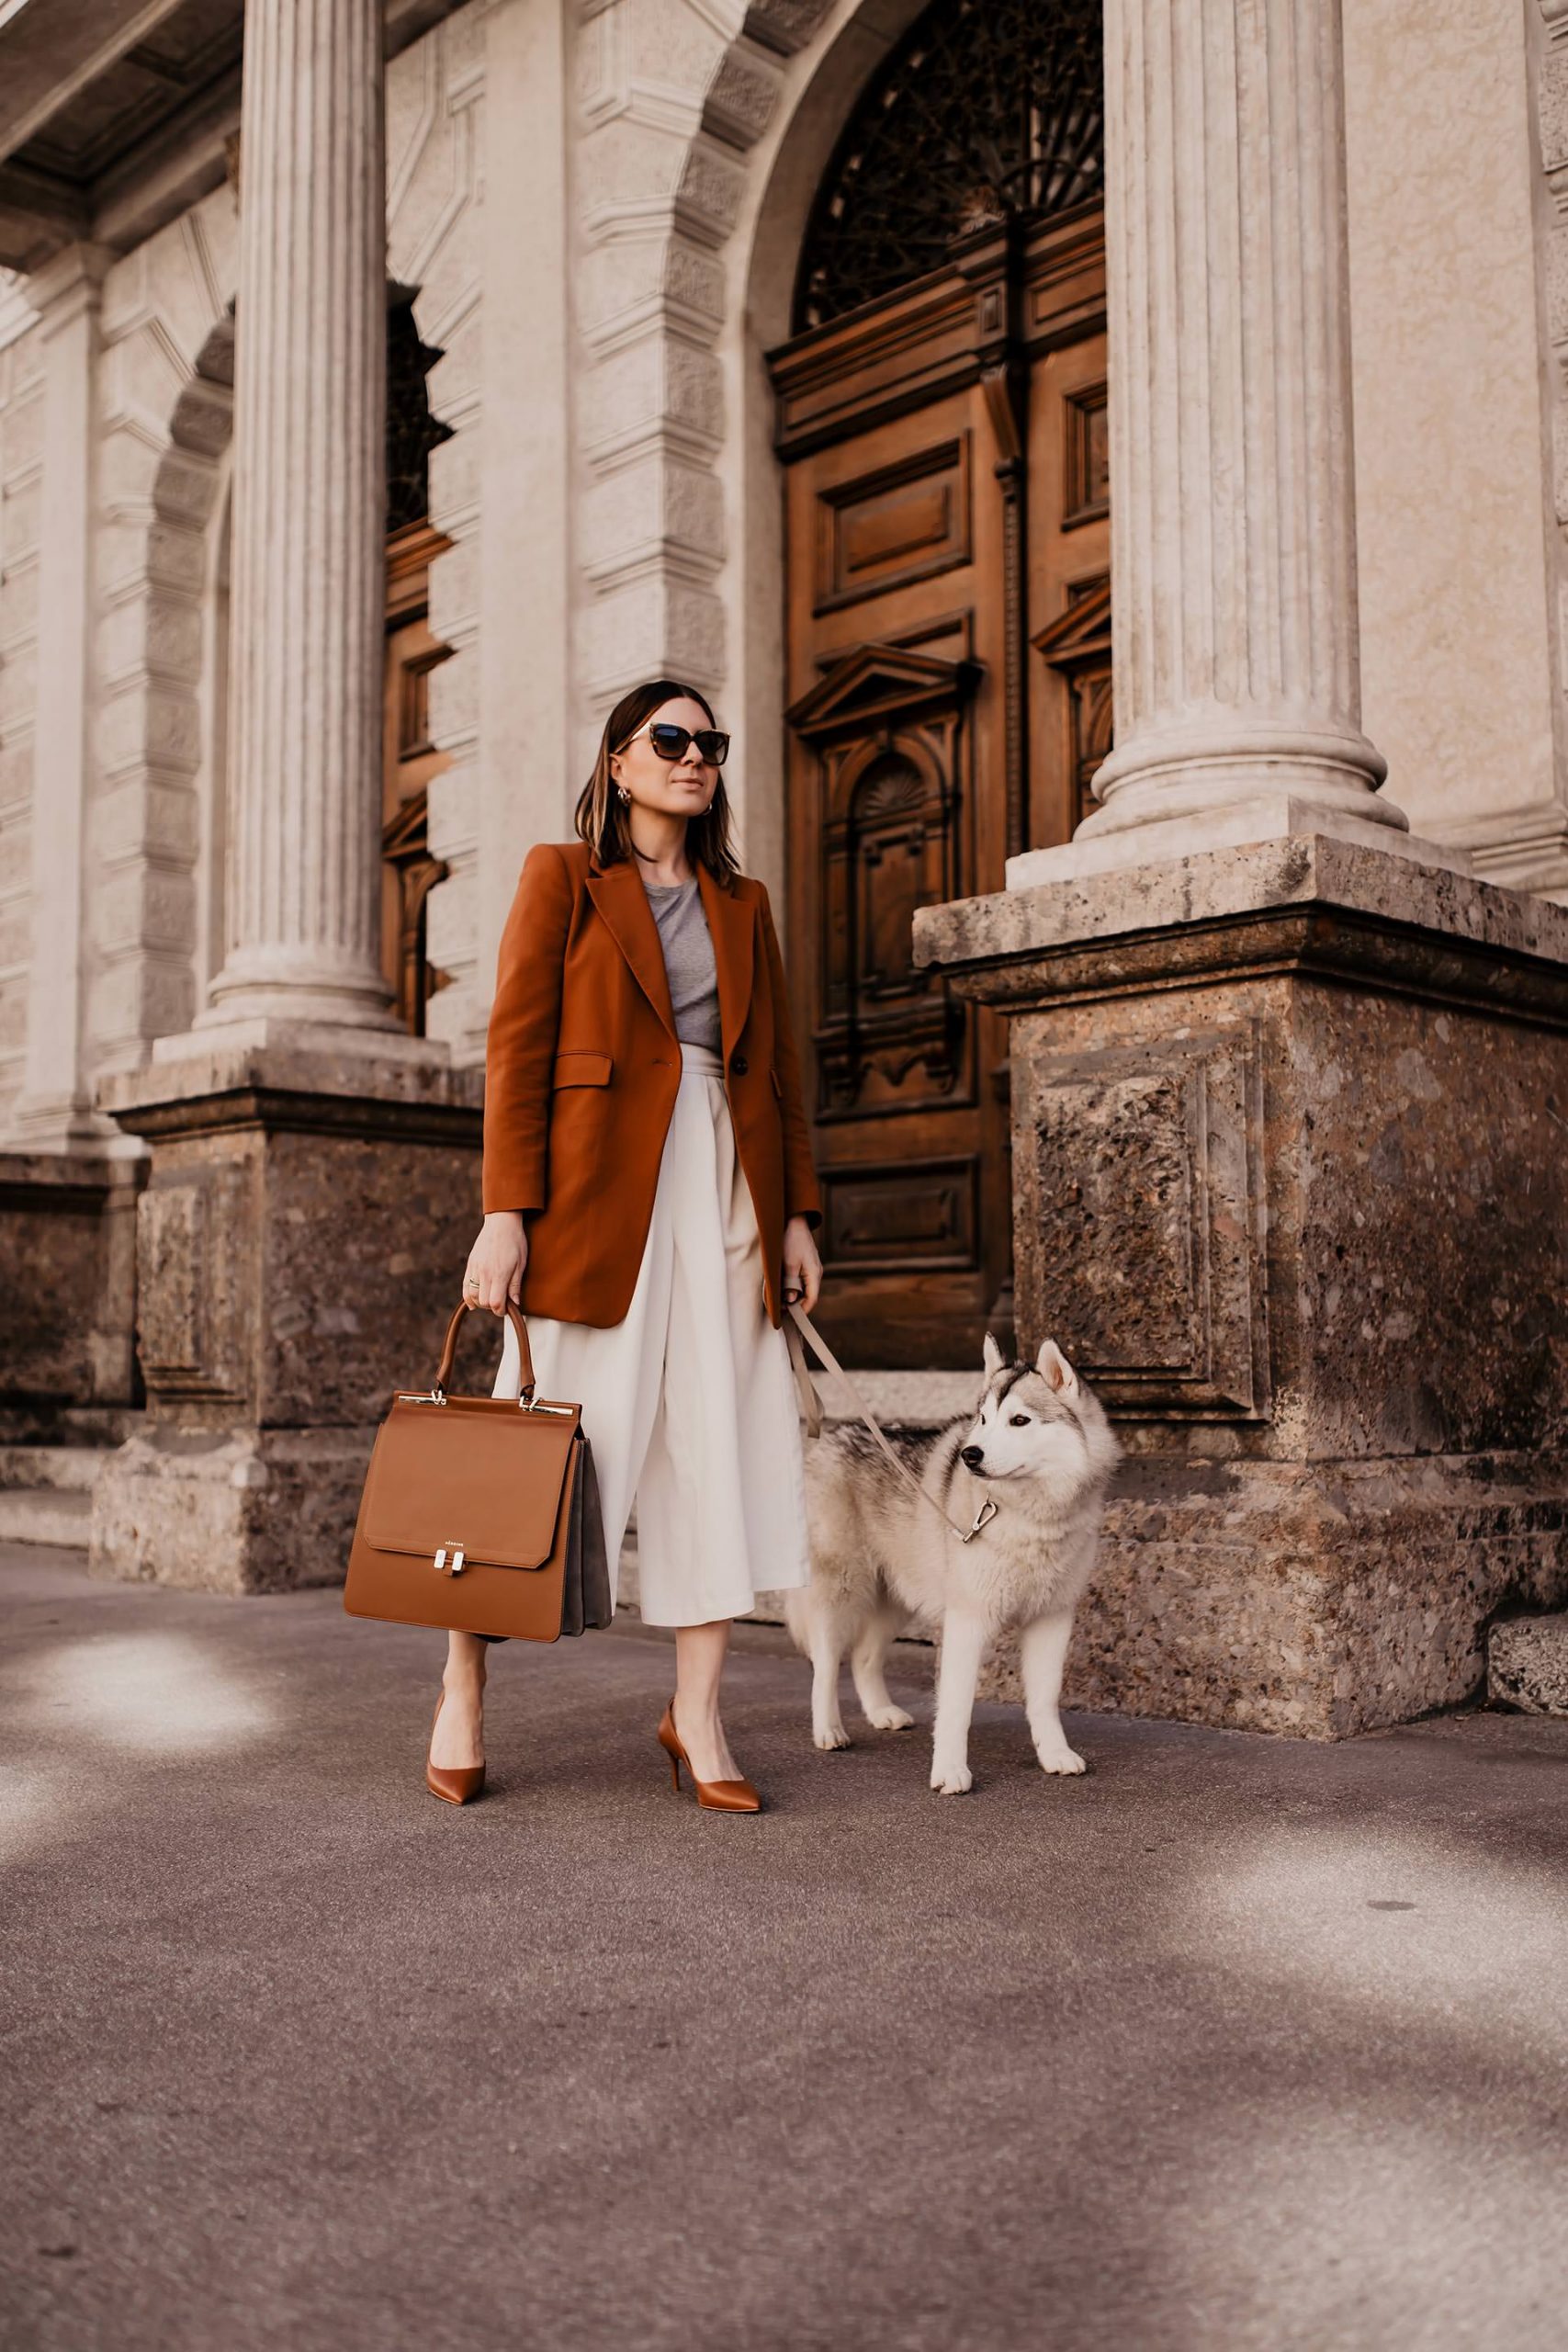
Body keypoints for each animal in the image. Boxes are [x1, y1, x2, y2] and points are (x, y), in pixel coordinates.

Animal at [789, 1336, 1123, 1787]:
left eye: (1020, 1420)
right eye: (983, 1418)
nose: (970, 1454)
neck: (1030, 1517)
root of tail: (833, 1434)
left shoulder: (1051, 1618)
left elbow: (1044, 1699)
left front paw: (1054, 1753)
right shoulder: (968, 1619)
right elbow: (956, 1706)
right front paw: (949, 1770)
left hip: (898, 1597)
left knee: (863, 1656)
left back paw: (881, 1712)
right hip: (840, 1591)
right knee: (825, 1665)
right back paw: (828, 1729)